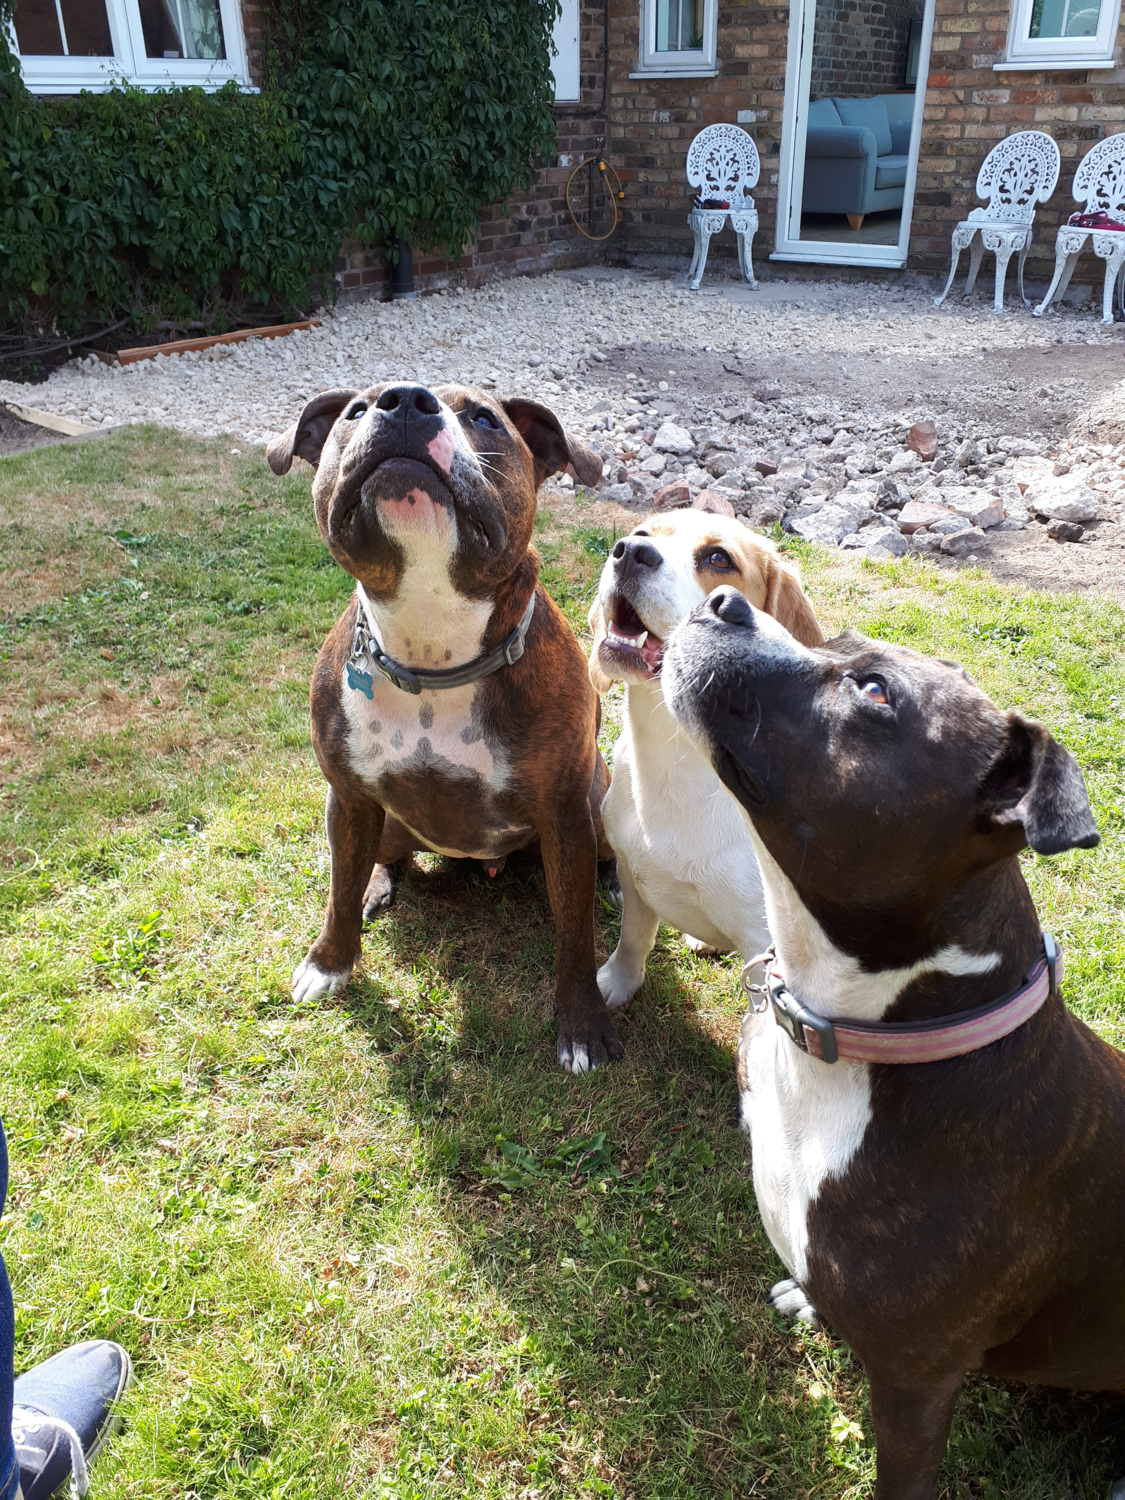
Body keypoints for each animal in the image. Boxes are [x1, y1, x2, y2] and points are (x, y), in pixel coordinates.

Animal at [266, 381, 624, 1074]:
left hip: (598, 806)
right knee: (376, 860)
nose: (405, 401)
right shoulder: (348, 797)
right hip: (378, 820)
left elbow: (575, 936)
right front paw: (329, 963)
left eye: (485, 419)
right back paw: (378, 886)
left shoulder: (565, 817)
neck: (433, 650)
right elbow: (338, 887)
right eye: (354, 411)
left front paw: (583, 1026)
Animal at [587, 509, 823, 1010]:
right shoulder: (630, 872)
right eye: (641, 534)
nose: (629, 552)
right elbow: (633, 940)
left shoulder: (764, 946)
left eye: (718, 558)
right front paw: (616, 985)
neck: (673, 754)